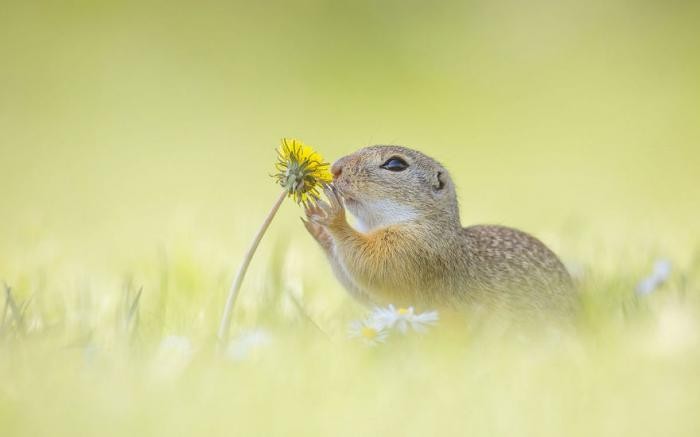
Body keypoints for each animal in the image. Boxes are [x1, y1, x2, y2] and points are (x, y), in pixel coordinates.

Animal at [304, 145, 576, 316]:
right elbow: (366, 292)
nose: (335, 168)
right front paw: (320, 230)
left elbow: (373, 266)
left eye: (395, 164)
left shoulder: (411, 251)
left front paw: (333, 218)